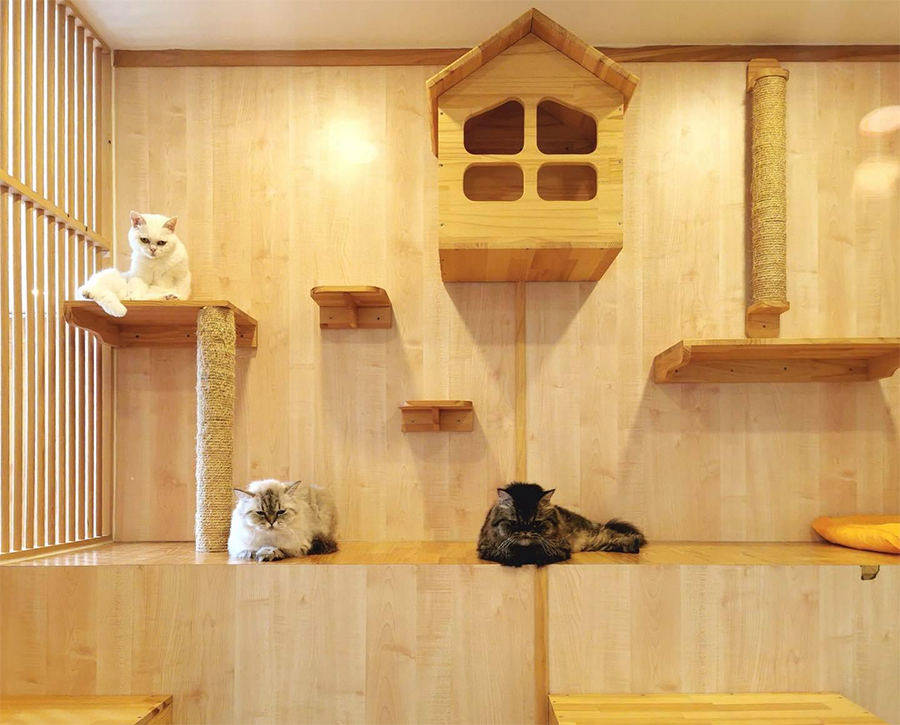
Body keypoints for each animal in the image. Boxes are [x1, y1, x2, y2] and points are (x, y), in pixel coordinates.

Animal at [477, 482, 646, 567]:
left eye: (536, 523)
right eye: (514, 523)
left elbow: (542, 552)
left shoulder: (561, 547)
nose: (525, 532)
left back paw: (634, 544)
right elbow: (510, 552)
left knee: (620, 534)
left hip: (597, 534)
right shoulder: (488, 548)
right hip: (598, 543)